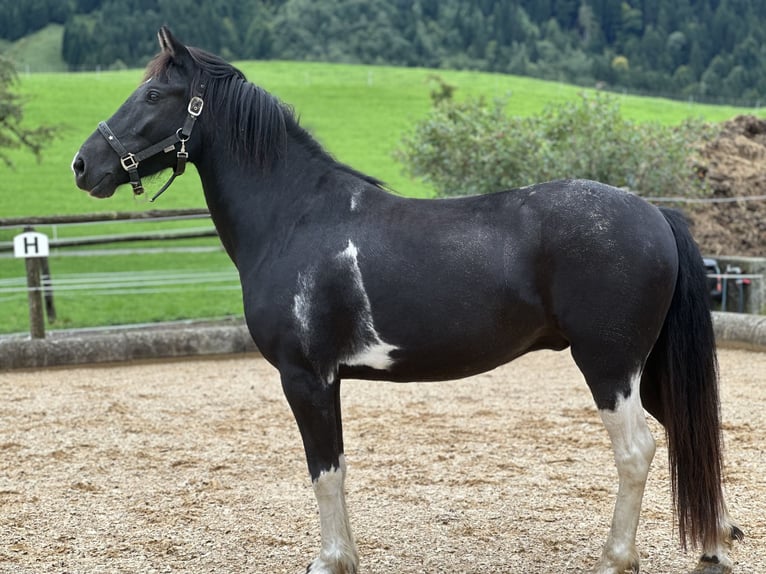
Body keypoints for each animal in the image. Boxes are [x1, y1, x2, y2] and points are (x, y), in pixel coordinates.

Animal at [72, 27, 742, 574]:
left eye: (154, 96)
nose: (84, 164)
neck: (296, 218)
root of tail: (654, 212)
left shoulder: (305, 377)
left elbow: (325, 470)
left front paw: (332, 561)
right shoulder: (327, 380)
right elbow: (336, 467)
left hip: (609, 367)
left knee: (637, 451)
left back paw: (616, 558)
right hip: (646, 370)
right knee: (689, 433)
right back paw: (715, 545)